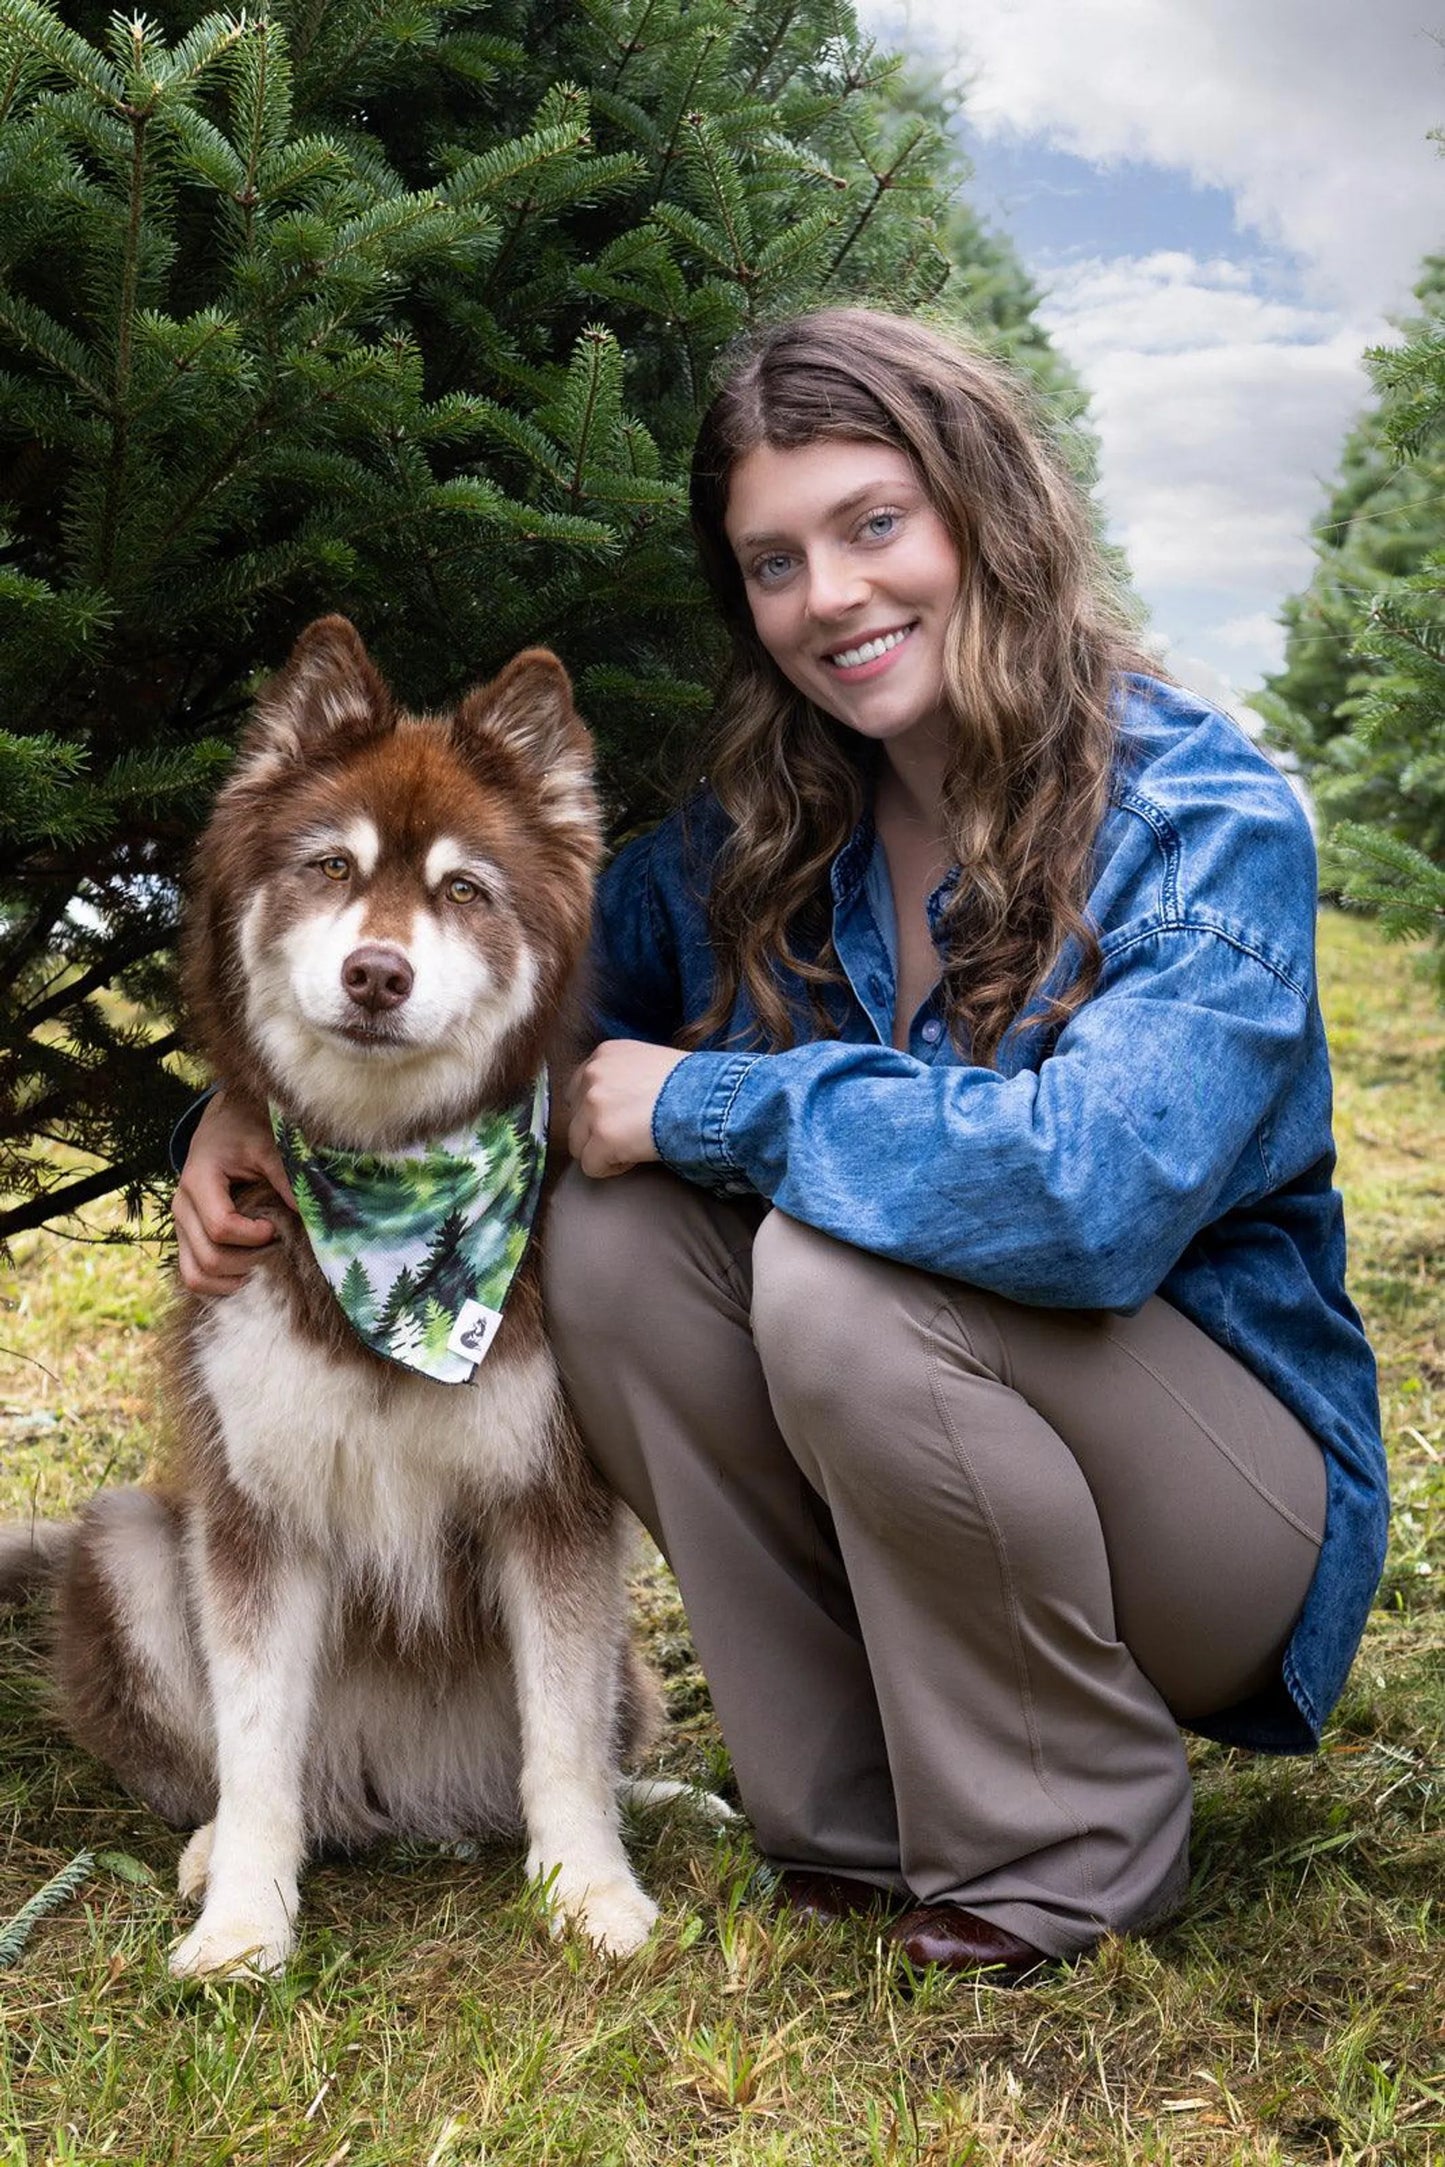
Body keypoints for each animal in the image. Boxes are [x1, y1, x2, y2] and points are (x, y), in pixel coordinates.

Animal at [0, 615, 667, 1984]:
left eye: (463, 889)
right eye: (328, 866)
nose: (374, 973)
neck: (388, 1183)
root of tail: (395, 1795)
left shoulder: (551, 1499)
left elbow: (563, 1738)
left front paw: (587, 1889)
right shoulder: (258, 1509)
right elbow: (258, 1750)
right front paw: (242, 1923)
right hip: (131, 1543)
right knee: (257, 1767)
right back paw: (213, 1850)